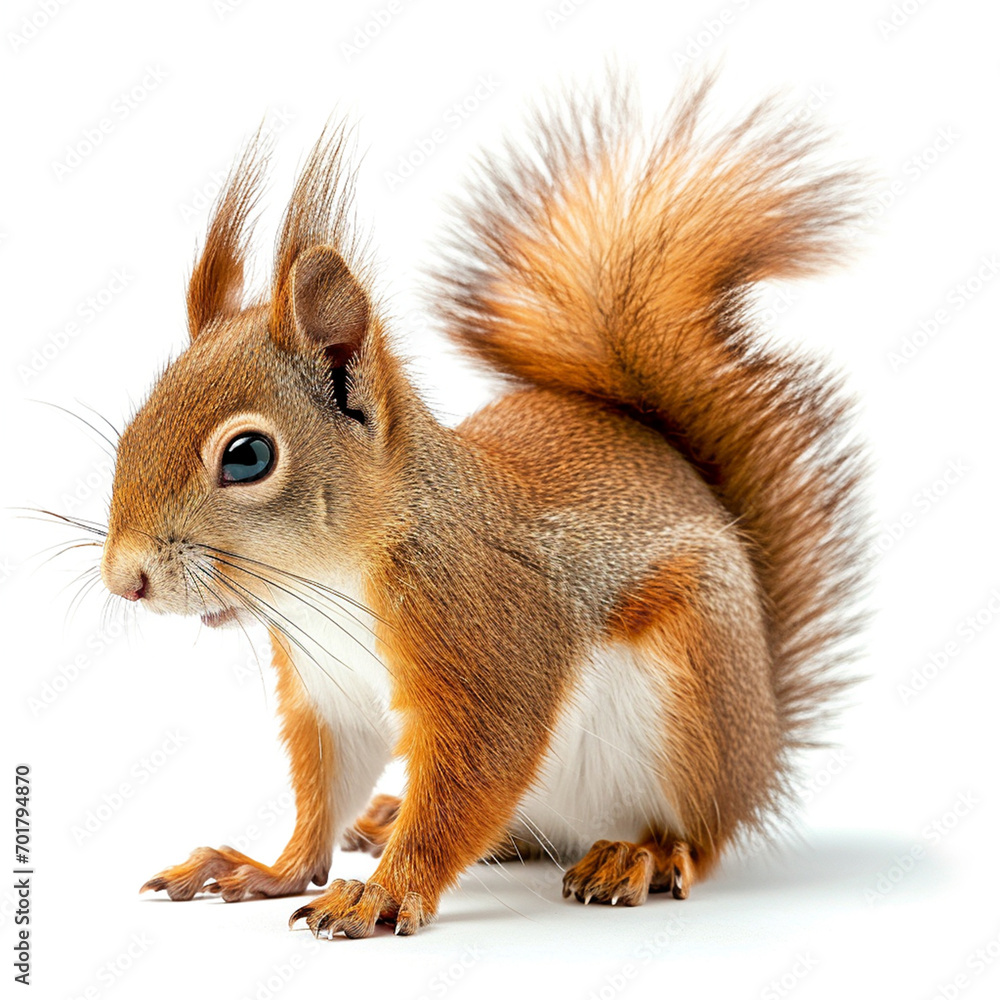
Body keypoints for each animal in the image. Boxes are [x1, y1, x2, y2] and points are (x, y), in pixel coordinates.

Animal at [96, 74, 869, 938]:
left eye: (248, 457)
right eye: (137, 419)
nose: (125, 580)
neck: (331, 582)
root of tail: (761, 745)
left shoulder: (490, 644)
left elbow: (469, 781)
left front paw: (383, 894)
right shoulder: (330, 700)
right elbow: (323, 798)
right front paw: (269, 869)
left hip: (693, 700)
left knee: (699, 835)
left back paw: (640, 855)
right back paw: (389, 818)